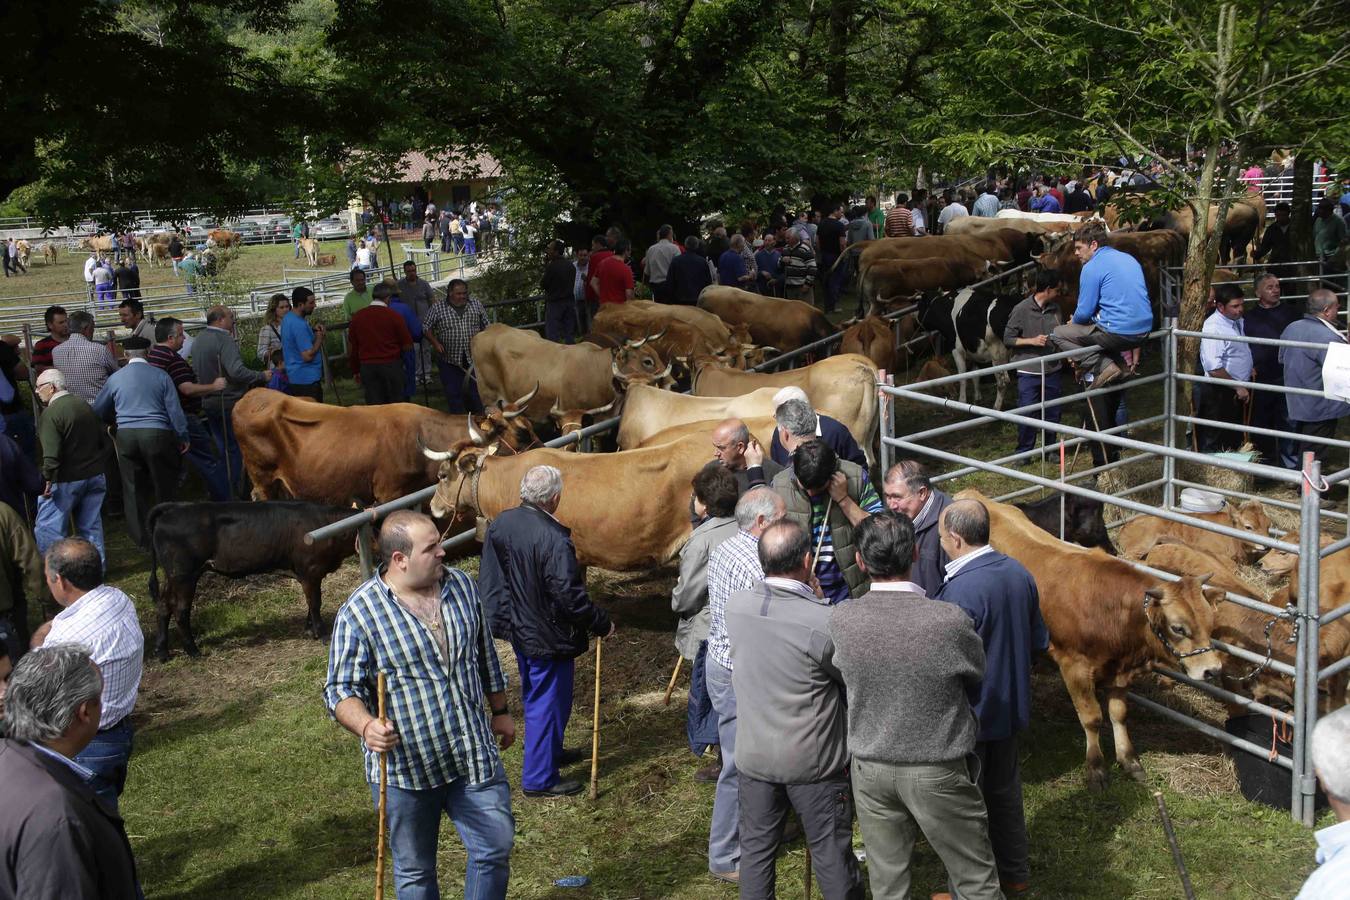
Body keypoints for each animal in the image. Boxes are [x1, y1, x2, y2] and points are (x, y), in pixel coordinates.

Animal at [961, 488, 1225, 793]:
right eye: (1178, 628)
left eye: (1210, 623)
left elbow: (1119, 714)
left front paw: (1129, 760)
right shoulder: (1073, 665)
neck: (1108, 606)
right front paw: (1096, 768)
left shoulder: (1120, 670)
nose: (1213, 670)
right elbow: (1092, 718)